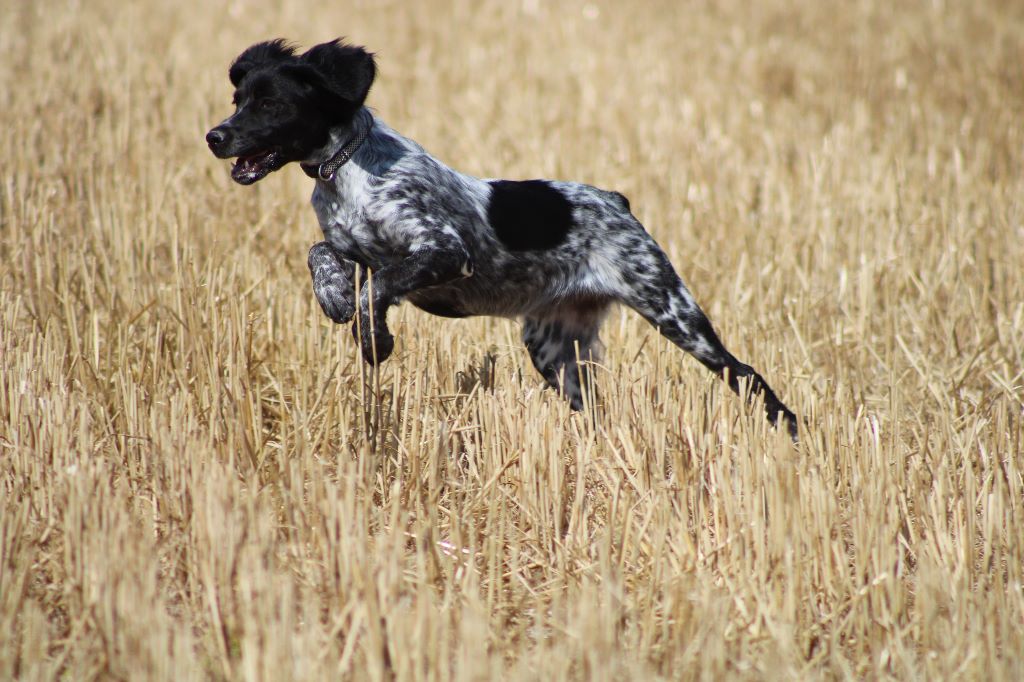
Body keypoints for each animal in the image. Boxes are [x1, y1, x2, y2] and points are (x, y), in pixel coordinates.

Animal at [205, 39, 798, 438]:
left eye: (271, 104)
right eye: (237, 98)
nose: (214, 136)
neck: (347, 168)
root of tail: (615, 199)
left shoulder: (446, 250)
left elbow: (379, 287)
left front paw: (376, 341)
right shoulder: (353, 246)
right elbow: (321, 253)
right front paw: (334, 298)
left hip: (672, 310)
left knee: (748, 377)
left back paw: (790, 434)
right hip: (554, 350)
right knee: (595, 410)